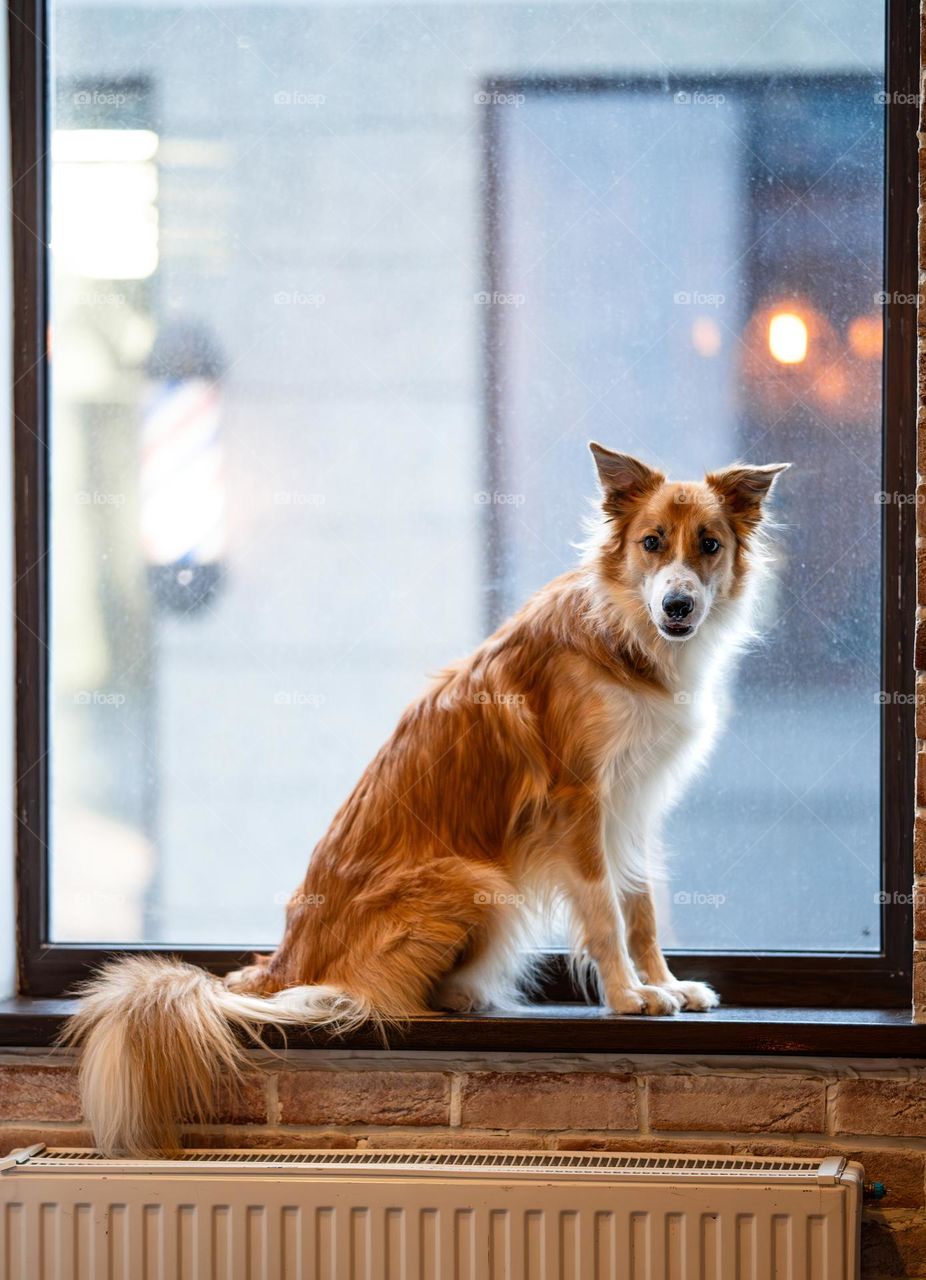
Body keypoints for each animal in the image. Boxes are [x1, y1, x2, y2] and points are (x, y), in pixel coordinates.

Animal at [66, 445, 788, 1157]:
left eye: (710, 545)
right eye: (651, 543)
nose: (678, 606)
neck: (624, 628)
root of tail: (279, 961)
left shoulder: (634, 806)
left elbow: (640, 911)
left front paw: (663, 983)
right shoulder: (579, 802)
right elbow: (605, 912)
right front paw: (626, 995)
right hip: (470, 878)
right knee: (360, 997)